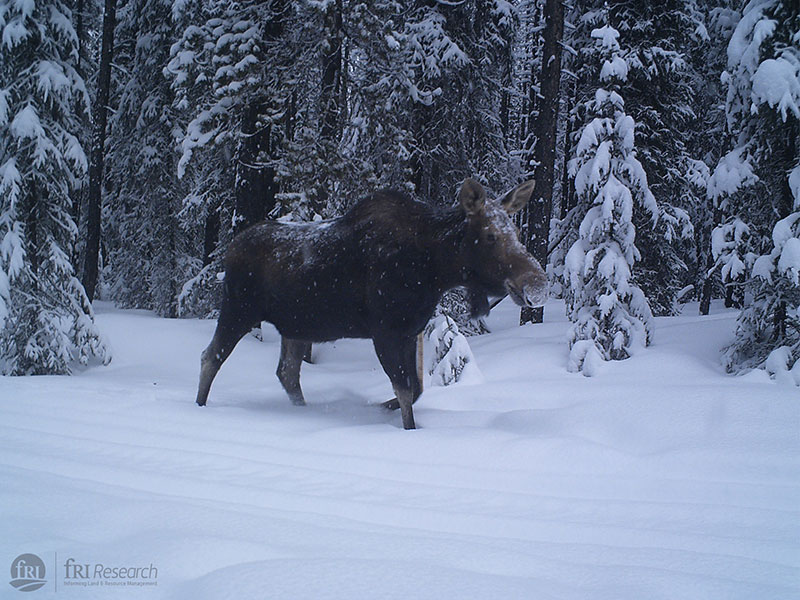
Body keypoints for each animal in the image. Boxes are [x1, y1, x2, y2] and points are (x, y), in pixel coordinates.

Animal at [195, 176, 548, 428]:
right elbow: (405, 390)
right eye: (490, 235)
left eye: (516, 231)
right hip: (238, 310)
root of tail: (230, 249)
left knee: (287, 372)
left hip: (294, 326)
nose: (539, 284)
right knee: (211, 356)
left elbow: (415, 388)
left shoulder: (409, 330)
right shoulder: (385, 331)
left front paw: (378, 407)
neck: (433, 270)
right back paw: (199, 407)